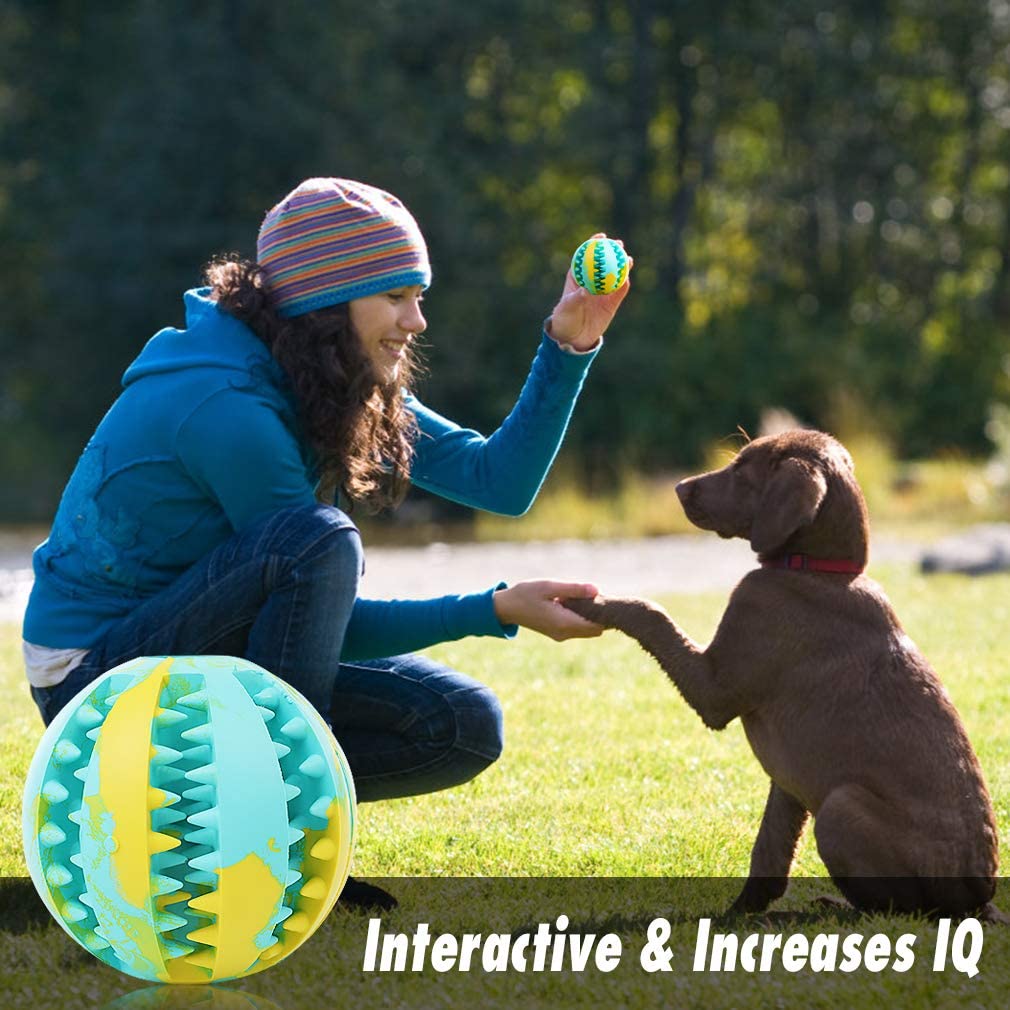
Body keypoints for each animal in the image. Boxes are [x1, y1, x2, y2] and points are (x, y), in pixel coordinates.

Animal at [569, 430, 1001, 921]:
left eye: (742, 469)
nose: (678, 488)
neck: (819, 571)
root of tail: (978, 901)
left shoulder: (714, 690)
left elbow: (650, 612)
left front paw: (589, 602)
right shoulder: (788, 780)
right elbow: (770, 850)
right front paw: (742, 912)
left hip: (839, 807)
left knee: (896, 909)